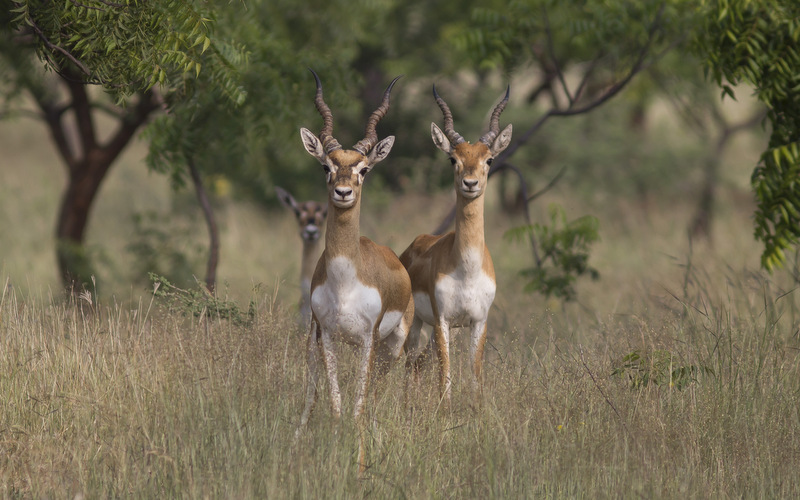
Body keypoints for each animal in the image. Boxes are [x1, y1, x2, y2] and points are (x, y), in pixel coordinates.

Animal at [296, 71, 416, 476]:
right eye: (326, 166)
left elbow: (358, 408)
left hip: (390, 349)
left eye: (364, 169)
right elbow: (336, 407)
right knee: (313, 397)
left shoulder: (367, 339)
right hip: (315, 343)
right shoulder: (329, 338)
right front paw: (334, 464)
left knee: (375, 402)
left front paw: (359, 466)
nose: (344, 191)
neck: (345, 281)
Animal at [400, 85, 512, 406]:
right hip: (415, 325)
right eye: (453, 158)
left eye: (489, 159)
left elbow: (476, 376)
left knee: (417, 365)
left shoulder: (478, 321)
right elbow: (445, 376)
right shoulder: (443, 321)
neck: (467, 269)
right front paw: (445, 409)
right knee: (410, 365)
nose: (470, 183)